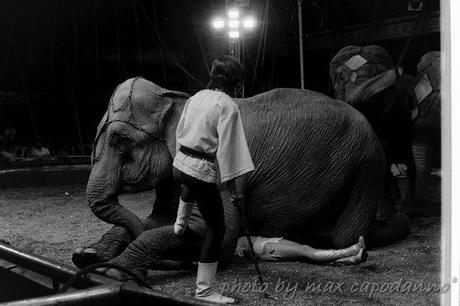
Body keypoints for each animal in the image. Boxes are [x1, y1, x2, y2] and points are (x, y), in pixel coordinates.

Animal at [74, 78, 410, 270]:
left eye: (122, 142)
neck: (176, 99)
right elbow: (162, 220)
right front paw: (88, 255)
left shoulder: (216, 167)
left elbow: (219, 234)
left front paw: (115, 269)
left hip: (366, 163)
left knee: (344, 235)